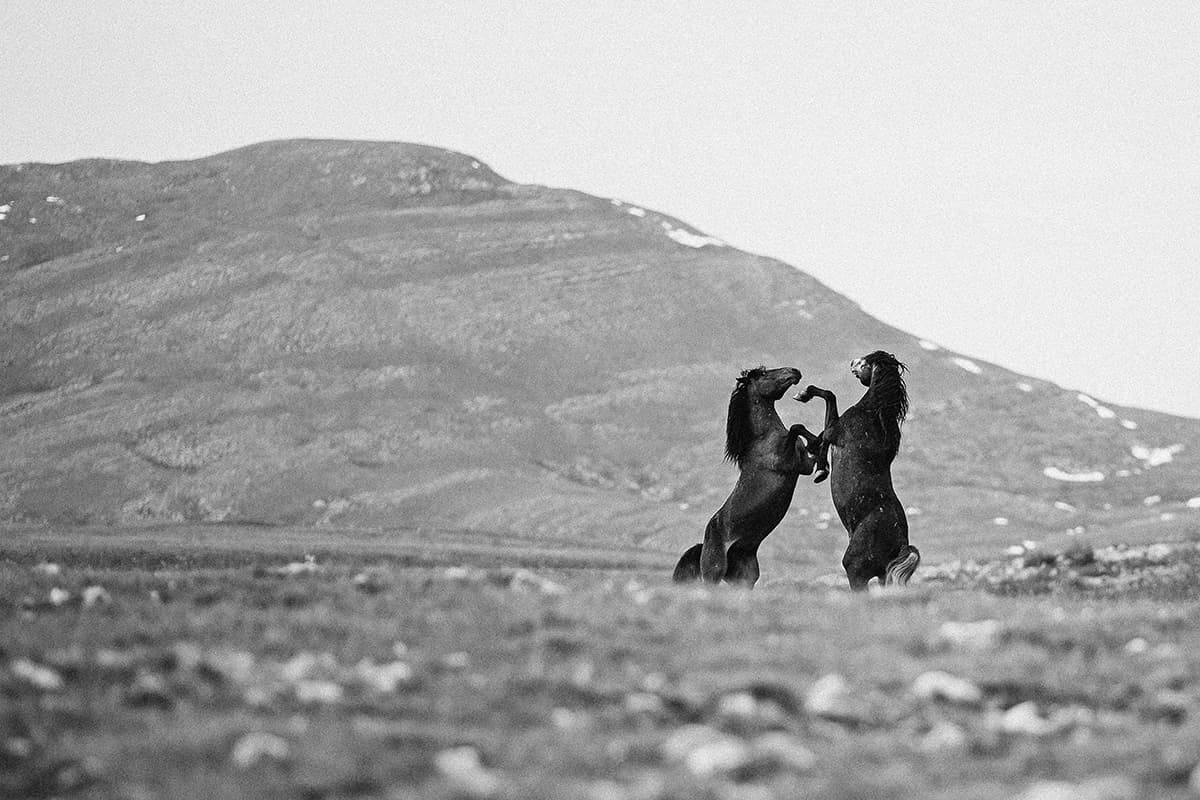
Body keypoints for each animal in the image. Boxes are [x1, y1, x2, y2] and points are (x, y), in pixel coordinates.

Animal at [673, 366, 824, 587]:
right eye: (763, 374)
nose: (795, 371)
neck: (764, 438)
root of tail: (703, 545)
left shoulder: (804, 466)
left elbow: (803, 436)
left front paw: (819, 446)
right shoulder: (786, 462)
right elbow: (796, 427)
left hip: (745, 579)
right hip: (714, 574)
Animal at [795, 351, 920, 590]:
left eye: (866, 361)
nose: (852, 362)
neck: (871, 413)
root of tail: (901, 545)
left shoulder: (835, 431)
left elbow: (828, 402)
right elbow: (816, 435)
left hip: (855, 569)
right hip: (883, 576)